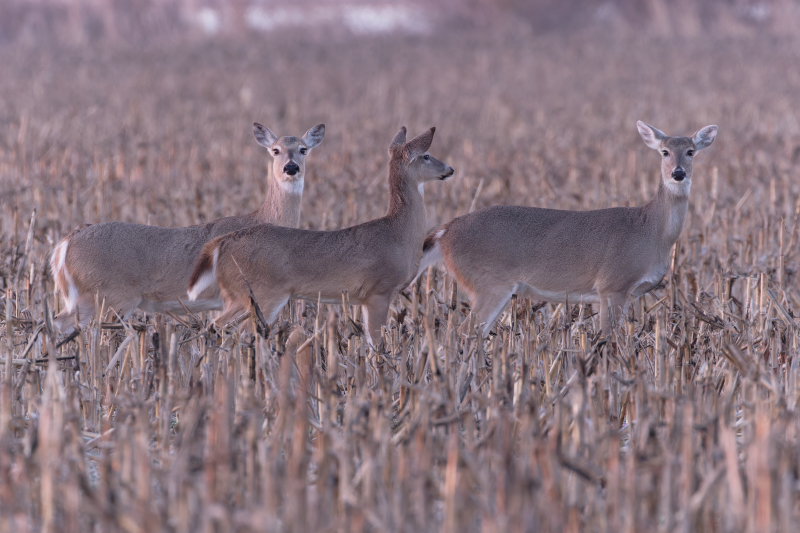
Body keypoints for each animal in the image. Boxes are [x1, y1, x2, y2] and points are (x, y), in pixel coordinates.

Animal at [418, 120, 720, 336]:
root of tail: (445, 231)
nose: (678, 173)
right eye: (664, 151)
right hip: (488, 281)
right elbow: (608, 340)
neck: (652, 230)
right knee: (463, 332)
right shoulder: (612, 284)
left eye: (691, 151)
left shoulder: (629, 292)